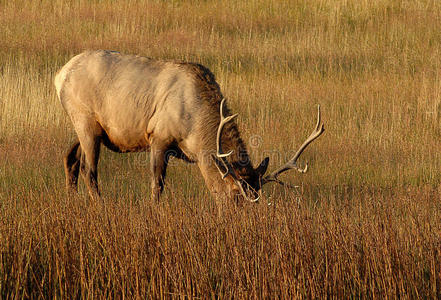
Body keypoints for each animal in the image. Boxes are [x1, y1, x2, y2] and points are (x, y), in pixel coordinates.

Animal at [55, 50, 324, 203]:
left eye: (257, 195)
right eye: (235, 195)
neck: (194, 131)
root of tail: (59, 75)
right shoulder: (159, 135)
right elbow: (157, 182)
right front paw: (154, 210)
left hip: (92, 128)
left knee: (71, 158)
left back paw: (72, 201)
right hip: (85, 119)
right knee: (88, 170)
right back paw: (100, 206)